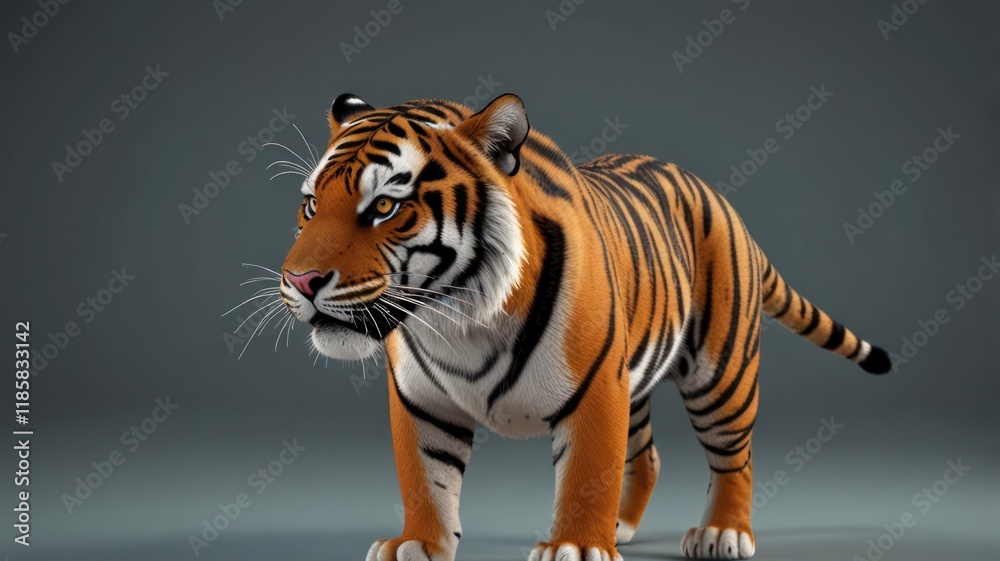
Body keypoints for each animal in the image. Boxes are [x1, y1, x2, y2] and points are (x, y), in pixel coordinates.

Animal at [276, 92, 892, 561]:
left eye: (384, 207)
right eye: (310, 205)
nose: (300, 281)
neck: (458, 320)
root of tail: (725, 205)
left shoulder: (596, 388)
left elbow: (586, 472)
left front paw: (575, 546)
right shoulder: (421, 399)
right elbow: (425, 479)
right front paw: (419, 544)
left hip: (720, 376)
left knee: (734, 456)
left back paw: (724, 533)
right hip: (637, 378)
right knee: (647, 455)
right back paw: (623, 526)